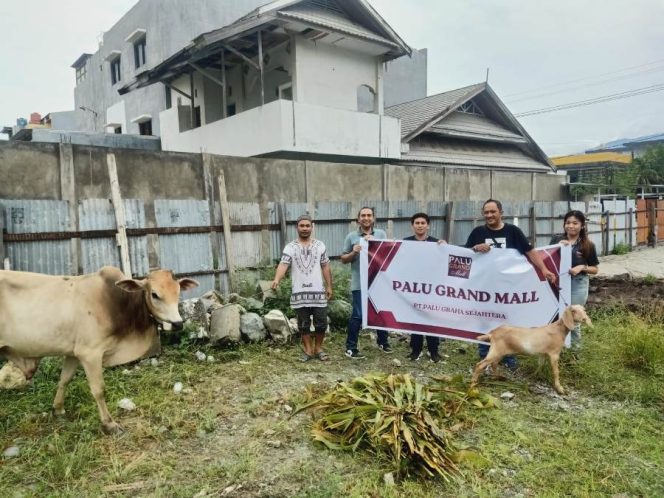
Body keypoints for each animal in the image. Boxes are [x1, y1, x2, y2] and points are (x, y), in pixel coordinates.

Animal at [0, 266, 197, 434]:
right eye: (155, 294)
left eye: (178, 291)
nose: (178, 324)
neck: (116, 302)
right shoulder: (90, 353)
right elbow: (98, 390)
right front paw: (109, 424)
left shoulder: (73, 353)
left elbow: (64, 380)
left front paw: (58, 410)